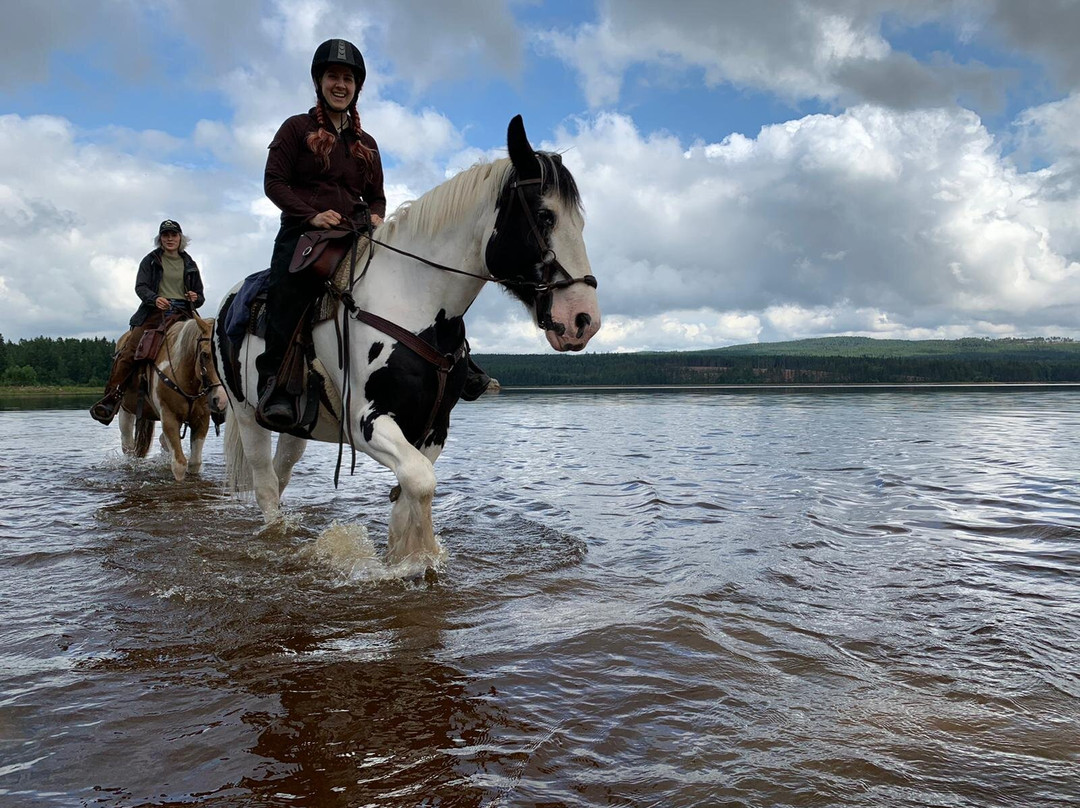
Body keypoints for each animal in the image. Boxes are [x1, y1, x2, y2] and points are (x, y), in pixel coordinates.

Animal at [210, 116, 600, 570]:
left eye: (580, 223)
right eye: (544, 215)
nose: (583, 320)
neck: (414, 301)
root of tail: (228, 301)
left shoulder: (433, 428)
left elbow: (410, 490)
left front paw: (404, 553)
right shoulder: (366, 423)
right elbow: (420, 480)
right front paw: (417, 558)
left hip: (296, 426)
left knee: (281, 471)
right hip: (247, 414)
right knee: (265, 482)